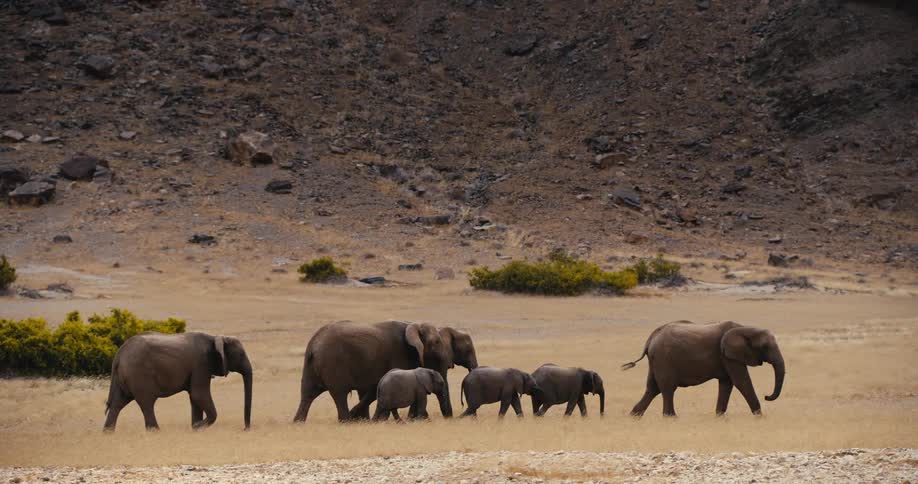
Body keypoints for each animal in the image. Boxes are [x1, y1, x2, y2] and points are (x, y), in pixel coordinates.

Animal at [103, 332, 253, 431]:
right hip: (138, 374)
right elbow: (199, 394)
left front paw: (195, 428)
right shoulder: (201, 364)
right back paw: (155, 432)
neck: (215, 338)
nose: (244, 429)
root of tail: (119, 354)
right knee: (147, 403)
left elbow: (194, 397)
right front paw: (197, 426)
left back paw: (108, 433)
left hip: (122, 378)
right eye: (240, 355)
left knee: (118, 403)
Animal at [293, 320, 478, 423]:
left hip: (310, 365)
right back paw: (345, 421)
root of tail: (314, 345)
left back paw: (298, 423)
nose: (450, 418)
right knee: (340, 394)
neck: (413, 325)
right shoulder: (400, 355)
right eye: (436, 343)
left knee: (307, 394)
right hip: (333, 364)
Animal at [622, 320, 785, 417]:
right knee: (667, 388)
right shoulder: (728, 355)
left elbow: (727, 383)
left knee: (653, 388)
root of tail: (651, 338)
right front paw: (760, 417)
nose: (767, 396)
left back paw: (634, 416)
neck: (745, 328)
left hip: (656, 360)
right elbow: (741, 381)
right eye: (765, 347)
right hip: (664, 358)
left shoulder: (727, 357)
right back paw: (671, 418)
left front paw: (719, 417)